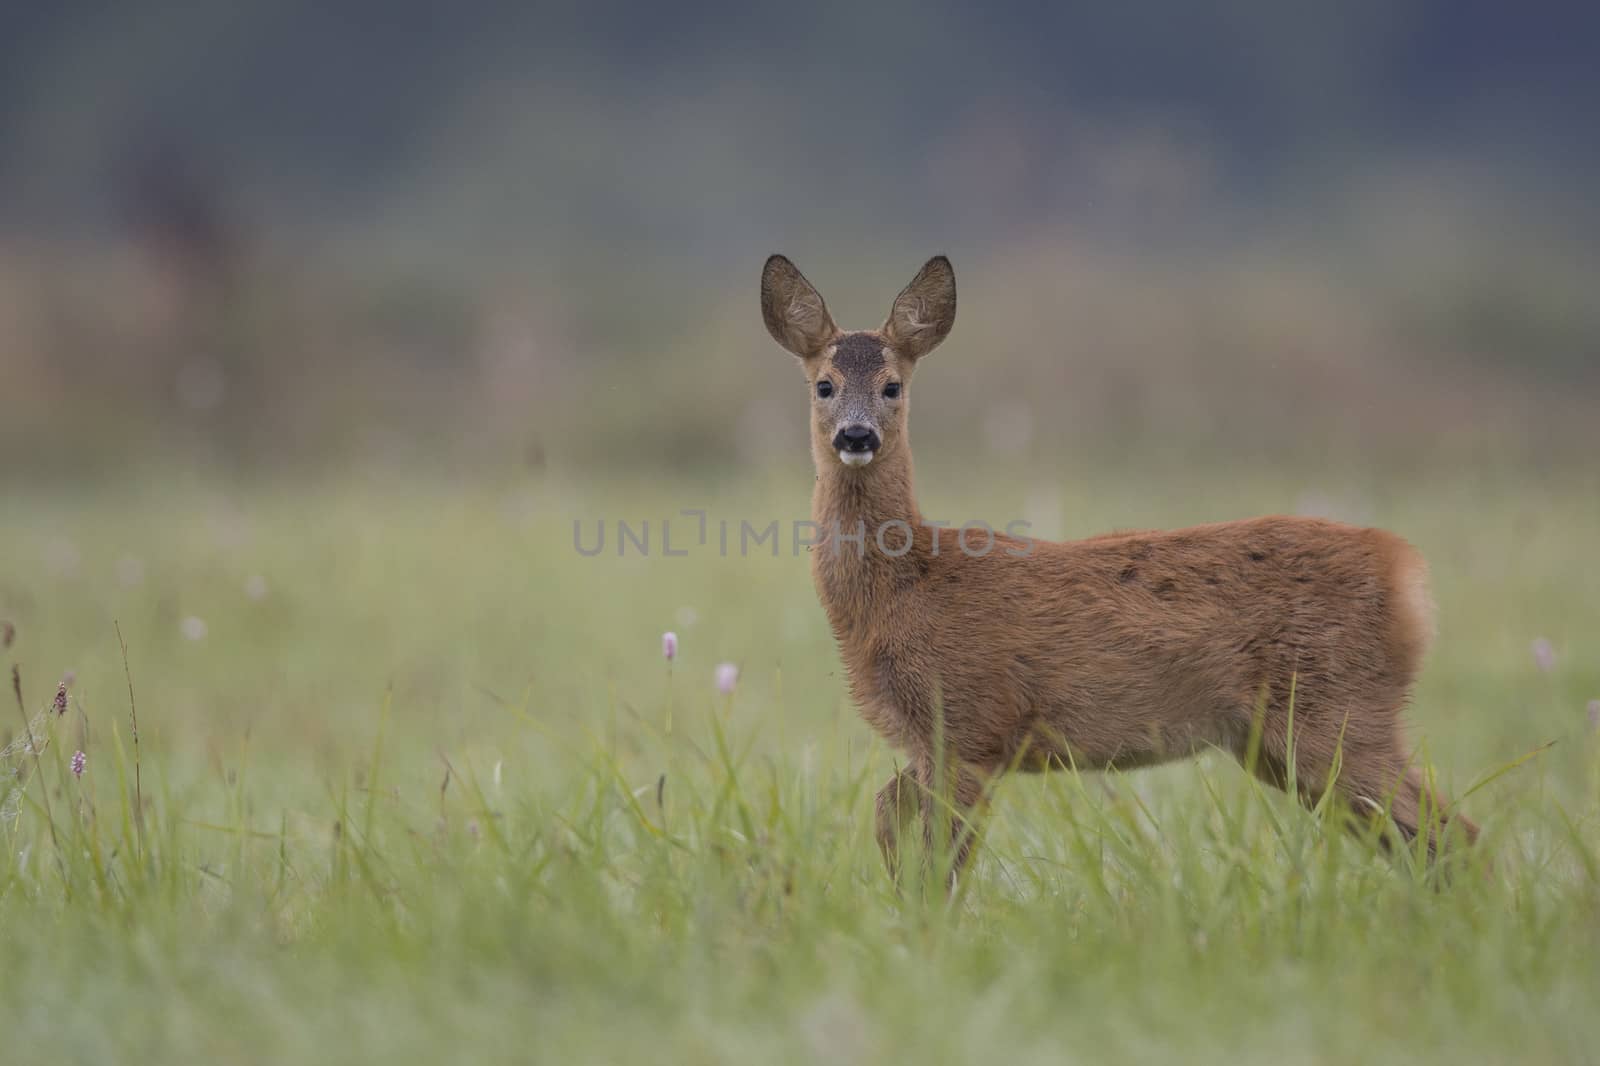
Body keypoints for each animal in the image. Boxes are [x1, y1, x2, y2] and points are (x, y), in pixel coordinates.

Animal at [755, 252, 1478, 883]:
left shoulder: (969, 726)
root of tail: (1408, 572)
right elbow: (885, 814)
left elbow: (941, 862)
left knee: (1455, 833)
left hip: (1337, 709)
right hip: (1283, 741)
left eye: (892, 387)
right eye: (823, 385)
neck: (906, 587)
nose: (856, 436)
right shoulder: (935, 745)